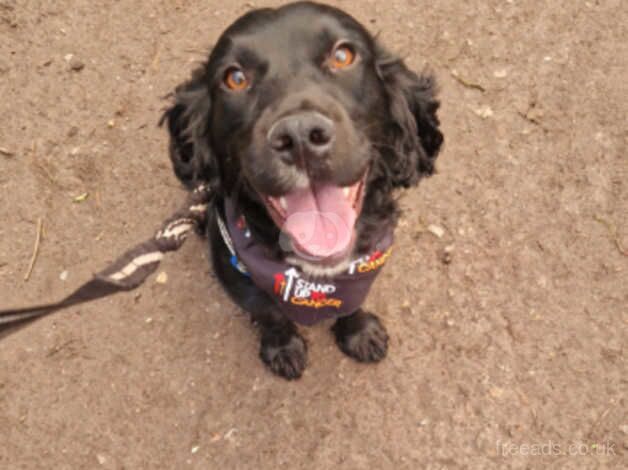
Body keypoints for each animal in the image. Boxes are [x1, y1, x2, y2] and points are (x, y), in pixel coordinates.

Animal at [162, 0, 442, 378]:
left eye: (343, 55)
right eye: (234, 78)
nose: (299, 136)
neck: (315, 279)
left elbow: (352, 304)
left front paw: (359, 333)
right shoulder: (236, 273)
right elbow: (268, 312)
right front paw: (282, 347)